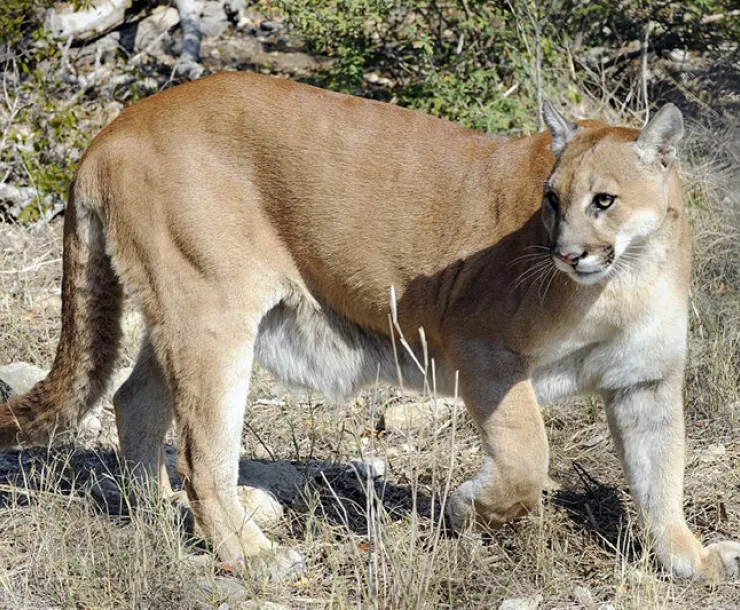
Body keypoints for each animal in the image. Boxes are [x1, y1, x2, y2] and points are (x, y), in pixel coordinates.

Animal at [1, 72, 738, 581]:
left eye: (603, 200)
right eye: (551, 201)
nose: (565, 253)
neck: (625, 279)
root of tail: (113, 128)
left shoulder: (645, 380)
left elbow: (661, 474)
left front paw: (689, 558)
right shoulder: (482, 348)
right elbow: (528, 457)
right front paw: (468, 506)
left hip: (183, 314)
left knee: (135, 399)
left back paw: (156, 514)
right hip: (211, 316)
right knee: (201, 454)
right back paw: (252, 556)